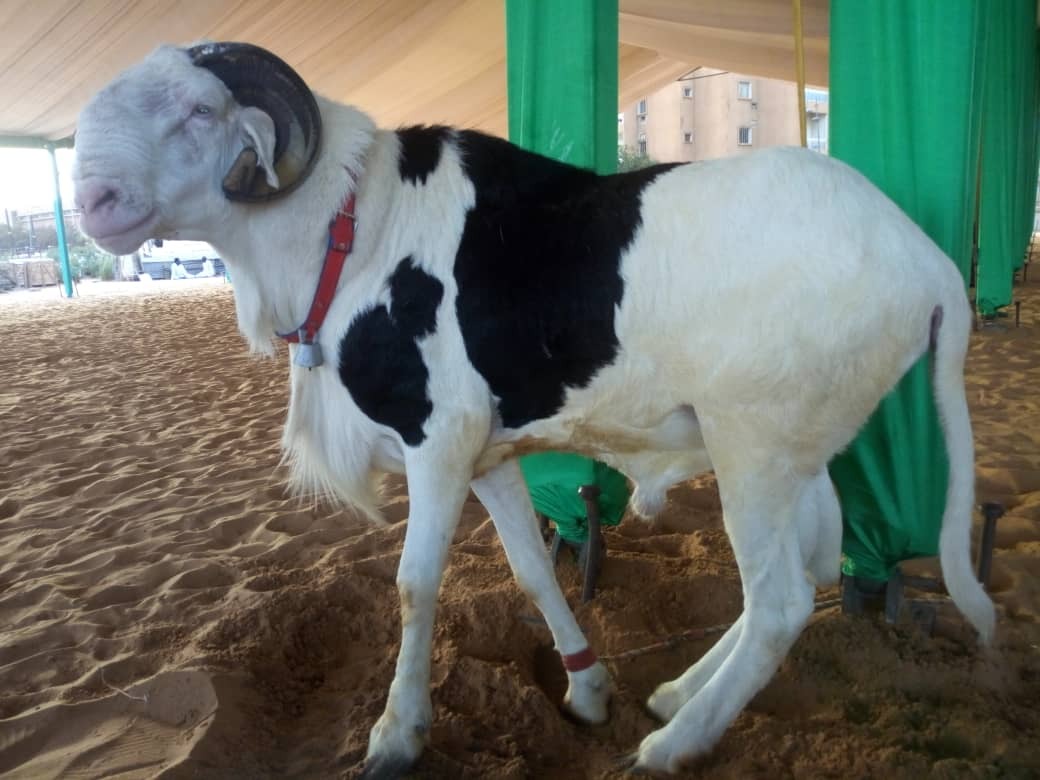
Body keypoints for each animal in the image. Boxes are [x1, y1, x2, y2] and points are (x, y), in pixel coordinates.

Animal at [72, 42, 994, 776]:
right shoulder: (486, 456)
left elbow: (414, 584)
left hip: (755, 448)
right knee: (804, 570)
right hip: (797, 448)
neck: (357, 228)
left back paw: (675, 743)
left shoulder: (436, 440)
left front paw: (397, 734)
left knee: (781, 604)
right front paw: (586, 690)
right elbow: (530, 569)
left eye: (199, 108)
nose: (94, 203)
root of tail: (927, 260)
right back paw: (677, 693)